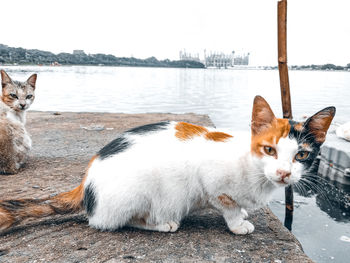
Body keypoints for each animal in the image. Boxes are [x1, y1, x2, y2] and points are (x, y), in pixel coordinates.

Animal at [0, 95, 334, 235]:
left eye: (302, 156)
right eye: (269, 149)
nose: (284, 173)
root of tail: (85, 183)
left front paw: (243, 214)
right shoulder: (212, 182)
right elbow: (227, 205)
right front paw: (238, 224)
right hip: (140, 192)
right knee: (115, 222)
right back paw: (162, 223)